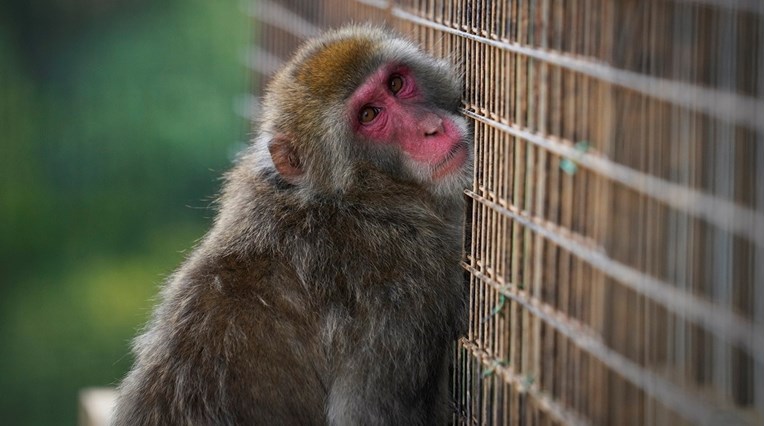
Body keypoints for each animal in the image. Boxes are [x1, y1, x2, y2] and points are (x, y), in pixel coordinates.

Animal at [112, 24, 472, 426]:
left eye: (396, 83)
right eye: (369, 114)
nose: (431, 128)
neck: (350, 201)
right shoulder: (406, 284)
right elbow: (369, 413)